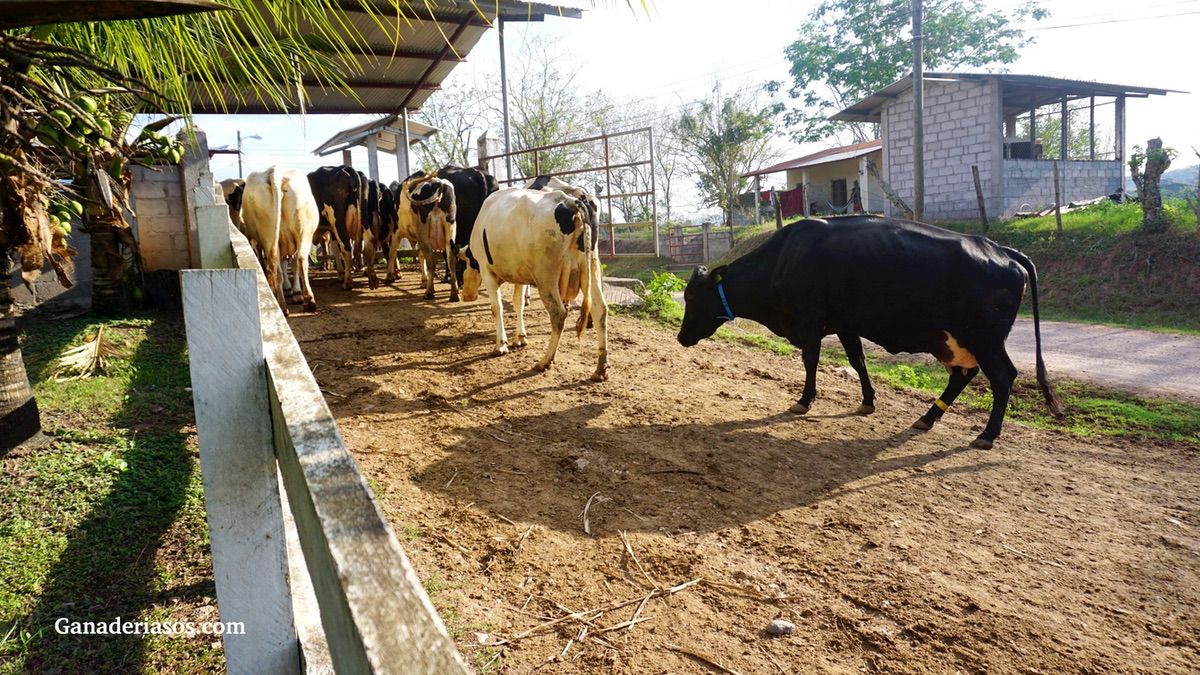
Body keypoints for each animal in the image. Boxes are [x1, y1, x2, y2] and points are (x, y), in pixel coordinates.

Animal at [238, 165, 319, 312]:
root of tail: (275, 171)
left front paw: (292, 291)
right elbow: (292, 265)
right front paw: (295, 292)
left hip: (273, 236)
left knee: (277, 266)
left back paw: (284, 304)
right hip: (303, 233)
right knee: (299, 261)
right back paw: (307, 301)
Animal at [458, 183, 609, 381]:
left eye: (463, 264)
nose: (466, 296)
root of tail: (569, 200)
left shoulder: (486, 269)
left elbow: (497, 307)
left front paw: (501, 345)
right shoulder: (520, 274)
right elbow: (518, 303)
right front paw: (520, 337)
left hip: (546, 276)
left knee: (559, 313)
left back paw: (545, 361)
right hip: (591, 266)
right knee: (600, 310)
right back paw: (600, 369)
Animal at [681, 214, 1065, 446]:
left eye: (691, 297)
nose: (681, 337)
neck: (782, 259)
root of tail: (1000, 249)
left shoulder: (810, 321)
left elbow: (810, 361)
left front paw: (804, 401)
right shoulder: (844, 324)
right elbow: (858, 361)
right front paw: (867, 401)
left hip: (985, 339)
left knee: (1002, 377)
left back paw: (987, 434)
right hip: (954, 339)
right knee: (963, 375)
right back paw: (927, 418)